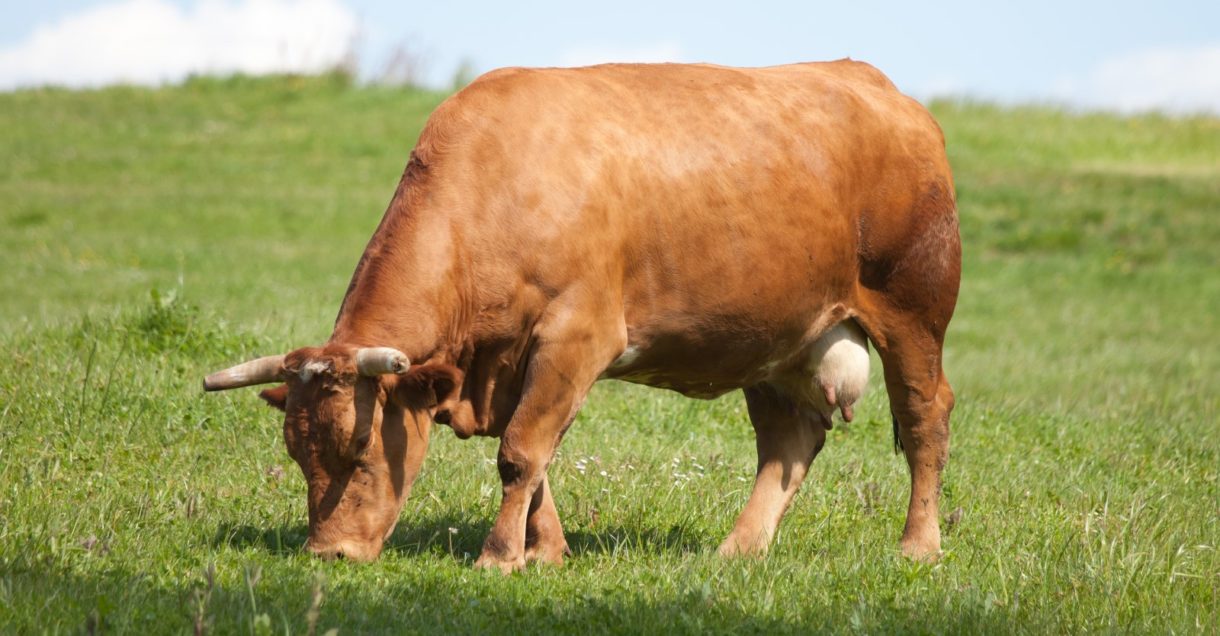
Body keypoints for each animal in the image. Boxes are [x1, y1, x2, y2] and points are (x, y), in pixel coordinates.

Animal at [202, 61, 961, 573]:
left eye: (359, 452)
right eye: (296, 454)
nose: (327, 554)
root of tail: (875, 84)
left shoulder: (578, 335)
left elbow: (520, 451)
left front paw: (499, 556)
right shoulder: (510, 362)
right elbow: (534, 456)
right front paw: (547, 551)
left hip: (913, 312)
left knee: (925, 418)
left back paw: (918, 546)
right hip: (776, 338)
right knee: (788, 443)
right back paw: (736, 551)